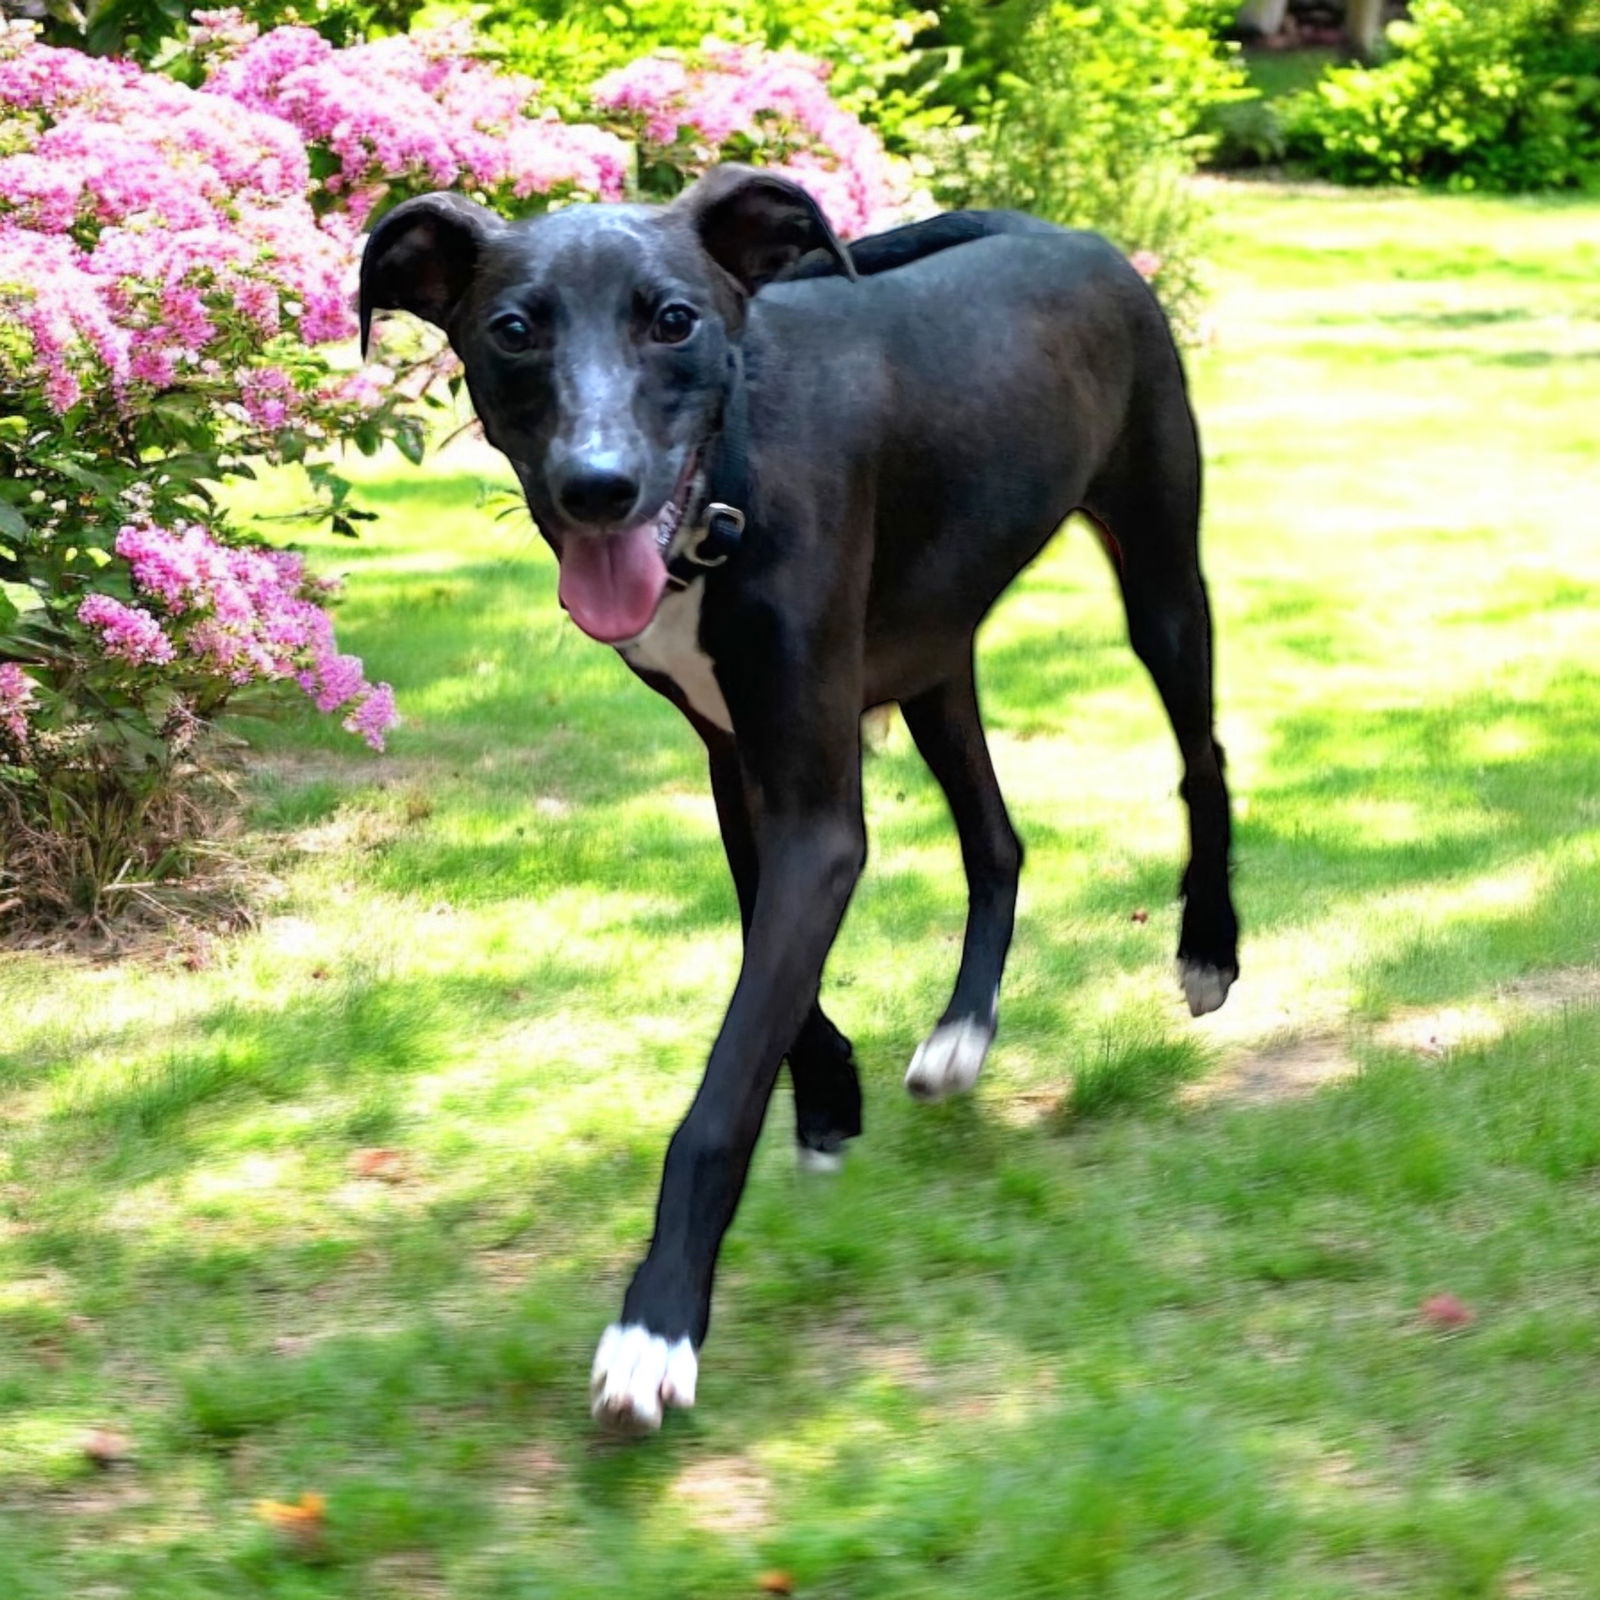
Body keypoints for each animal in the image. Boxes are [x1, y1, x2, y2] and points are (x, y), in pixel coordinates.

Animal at [360, 165, 1235, 1440]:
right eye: (512, 330)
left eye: (673, 319)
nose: (598, 487)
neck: (724, 484)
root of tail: (1062, 232)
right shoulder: (740, 762)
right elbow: (769, 965)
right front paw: (826, 1095)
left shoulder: (812, 801)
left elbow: (724, 1085)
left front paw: (656, 1324)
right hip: (932, 656)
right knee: (997, 841)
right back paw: (960, 1031)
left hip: (1160, 569)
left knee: (1200, 757)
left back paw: (1209, 945)